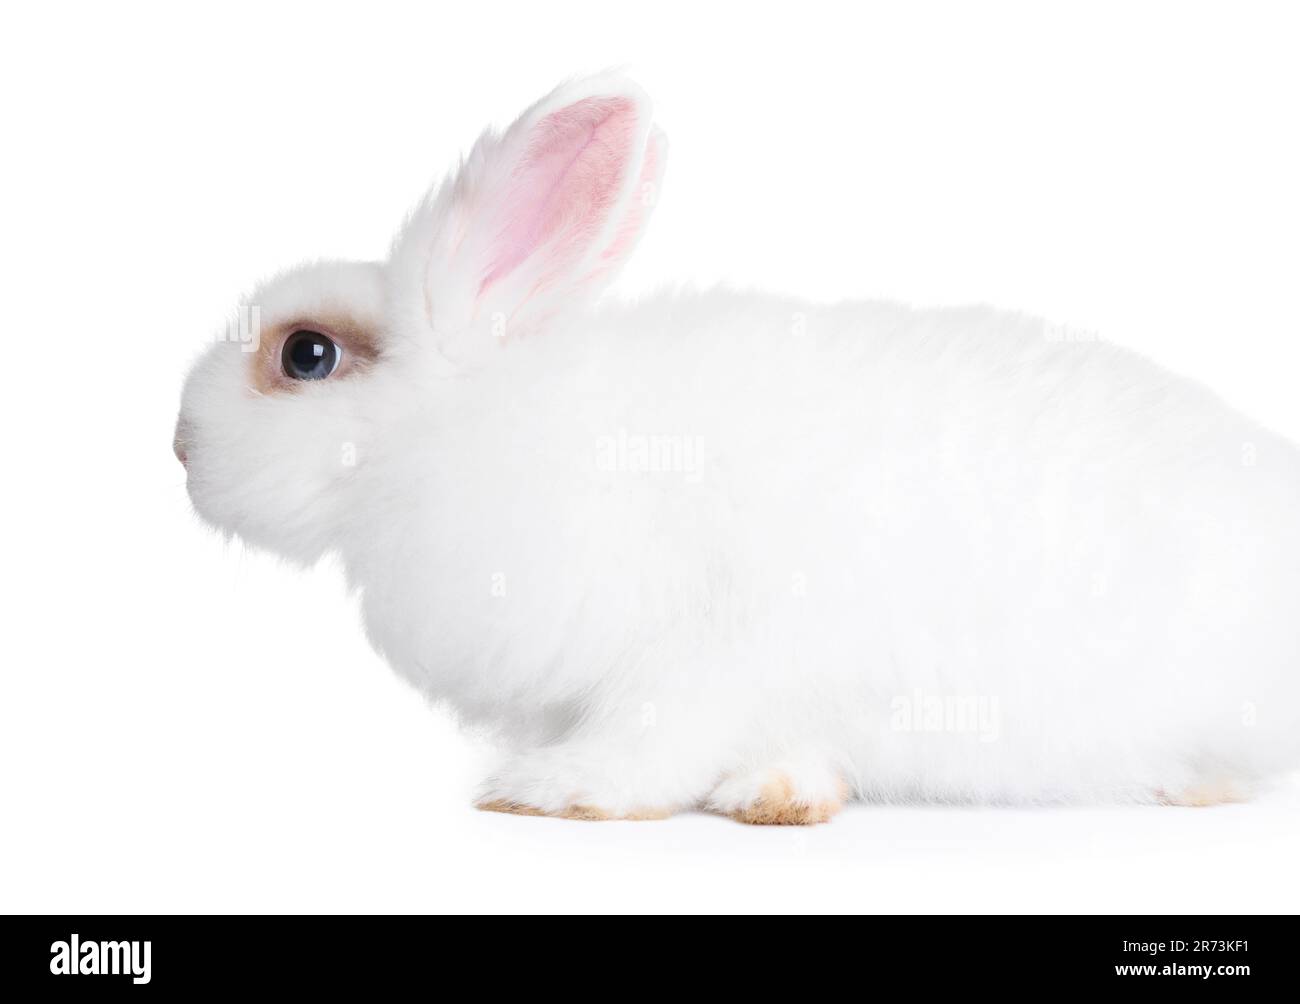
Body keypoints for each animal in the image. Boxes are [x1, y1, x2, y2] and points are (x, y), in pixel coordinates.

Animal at [176, 73, 1300, 824]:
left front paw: (549, 791)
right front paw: (782, 794)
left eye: (306, 354)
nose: (178, 443)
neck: (457, 434)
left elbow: (653, 743)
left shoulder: (688, 655)